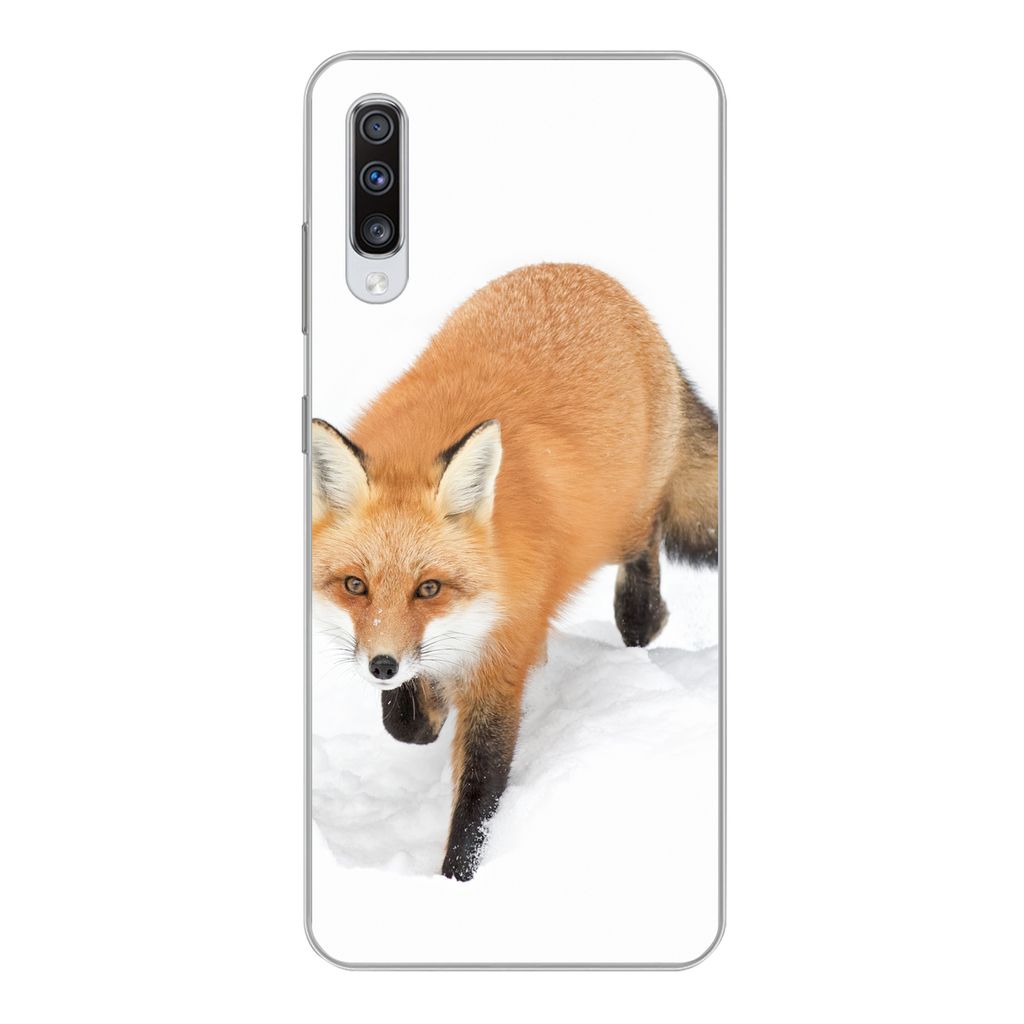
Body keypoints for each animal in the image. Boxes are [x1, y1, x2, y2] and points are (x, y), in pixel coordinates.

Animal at [312, 263, 718, 881]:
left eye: (429, 588)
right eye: (356, 585)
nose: (382, 666)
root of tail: (584, 272)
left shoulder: (502, 666)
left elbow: (480, 793)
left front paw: (457, 881)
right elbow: (407, 724)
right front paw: (425, 706)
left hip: (619, 521)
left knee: (648, 540)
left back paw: (643, 616)